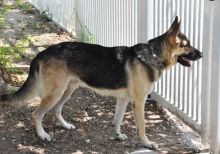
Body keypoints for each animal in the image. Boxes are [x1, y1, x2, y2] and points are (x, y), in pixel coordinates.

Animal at [0, 16, 203, 149]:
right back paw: (42, 135)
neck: (153, 54)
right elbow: (142, 127)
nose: (202, 54)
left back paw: (65, 126)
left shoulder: (124, 100)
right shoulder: (139, 102)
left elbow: (118, 120)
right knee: (36, 114)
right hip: (55, 92)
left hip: (67, 90)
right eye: (186, 44)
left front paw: (118, 135)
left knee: (56, 110)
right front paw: (147, 143)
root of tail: (43, 52)